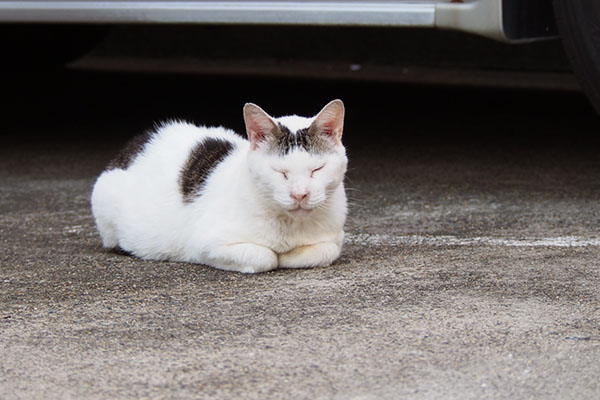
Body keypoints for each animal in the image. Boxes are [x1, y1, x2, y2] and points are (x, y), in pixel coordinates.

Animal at [91, 99, 350, 274]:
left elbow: (325, 250)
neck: (290, 225)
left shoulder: (335, 237)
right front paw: (279, 256)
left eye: (317, 169)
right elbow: (265, 257)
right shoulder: (205, 243)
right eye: (280, 172)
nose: (299, 195)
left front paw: (291, 254)